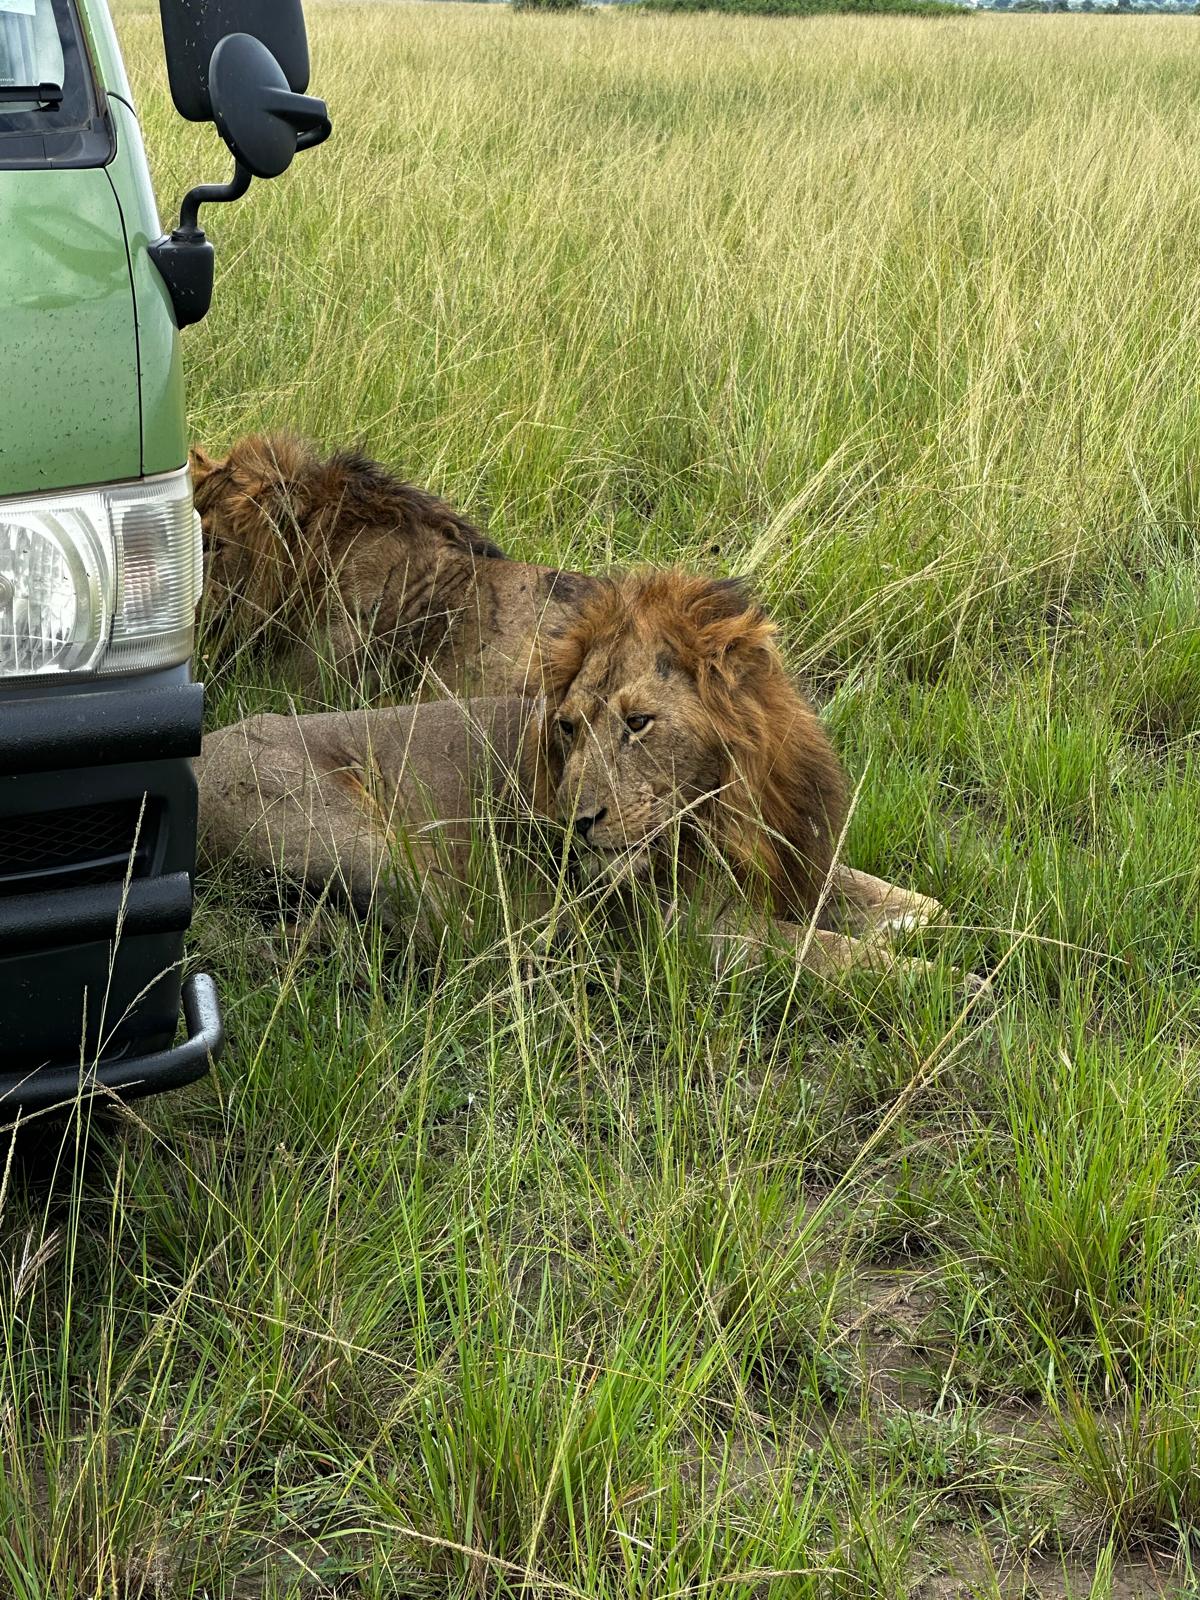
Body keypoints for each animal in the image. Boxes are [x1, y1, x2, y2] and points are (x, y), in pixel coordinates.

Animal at [196, 571, 948, 980]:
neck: (729, 805)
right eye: (568, 727)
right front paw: (947, 984)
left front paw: (936, 930)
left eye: (639, 722)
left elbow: (921, 906)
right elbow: (839, 956)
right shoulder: (686, 929)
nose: (576, 824)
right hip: (363, 840)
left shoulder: (797, 863)